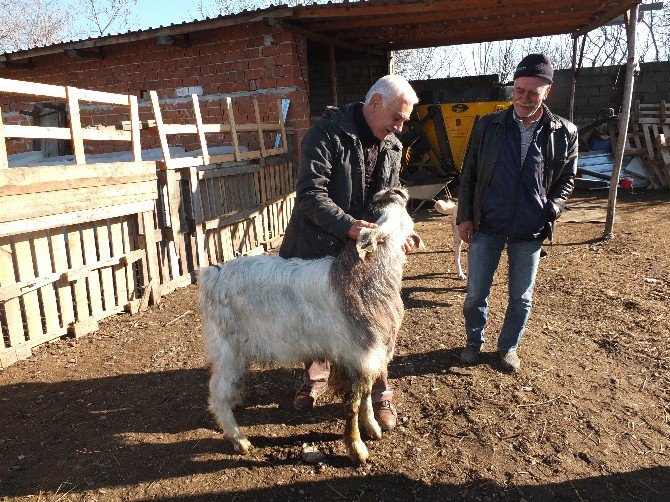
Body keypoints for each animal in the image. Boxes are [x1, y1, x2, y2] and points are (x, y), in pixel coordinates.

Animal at [197, 186, 422, 464]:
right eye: (385, 209)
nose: (394, 189)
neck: (362, 279)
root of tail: (211, 276)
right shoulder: (354, 354)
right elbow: (353, 404)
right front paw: (356, 449)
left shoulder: (368, 356)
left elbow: (367, 395)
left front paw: (372, 427)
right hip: (226, 348)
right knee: (216, 393)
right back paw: (238, 438)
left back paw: (236, 401)